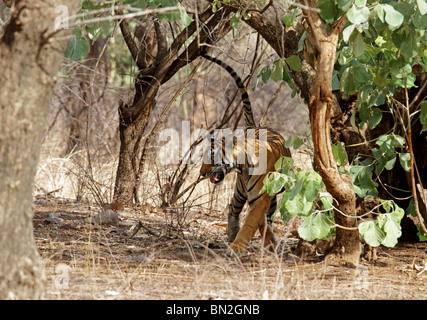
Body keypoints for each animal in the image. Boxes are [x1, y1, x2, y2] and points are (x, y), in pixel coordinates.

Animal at [201, 52, 290, 255]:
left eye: (211, 157)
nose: (201, 173)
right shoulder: (253, 197)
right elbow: (256, 223)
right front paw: (241, 245)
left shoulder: (261, 197)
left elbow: (252, 223)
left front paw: (239, 247)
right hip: (241, 190)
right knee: (232, 208)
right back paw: (233, 233)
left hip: (266, 195)